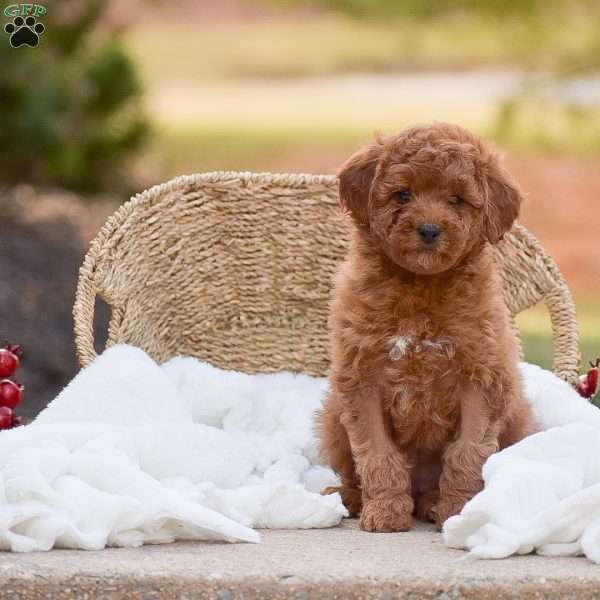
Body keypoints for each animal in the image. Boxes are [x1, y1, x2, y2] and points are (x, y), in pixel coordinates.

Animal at [318, 120, 536, 528]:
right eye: (402, 194)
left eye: (457, 200)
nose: (430, 229)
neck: (421, 284)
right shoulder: (361, 380)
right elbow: (377, 454)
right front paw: (385, 511)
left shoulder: (482, 379)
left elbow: (467, 452)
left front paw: (459, 511)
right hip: (332, 419)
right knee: (352, 470)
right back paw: (349, 498)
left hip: (517, 418)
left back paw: (433, 502)